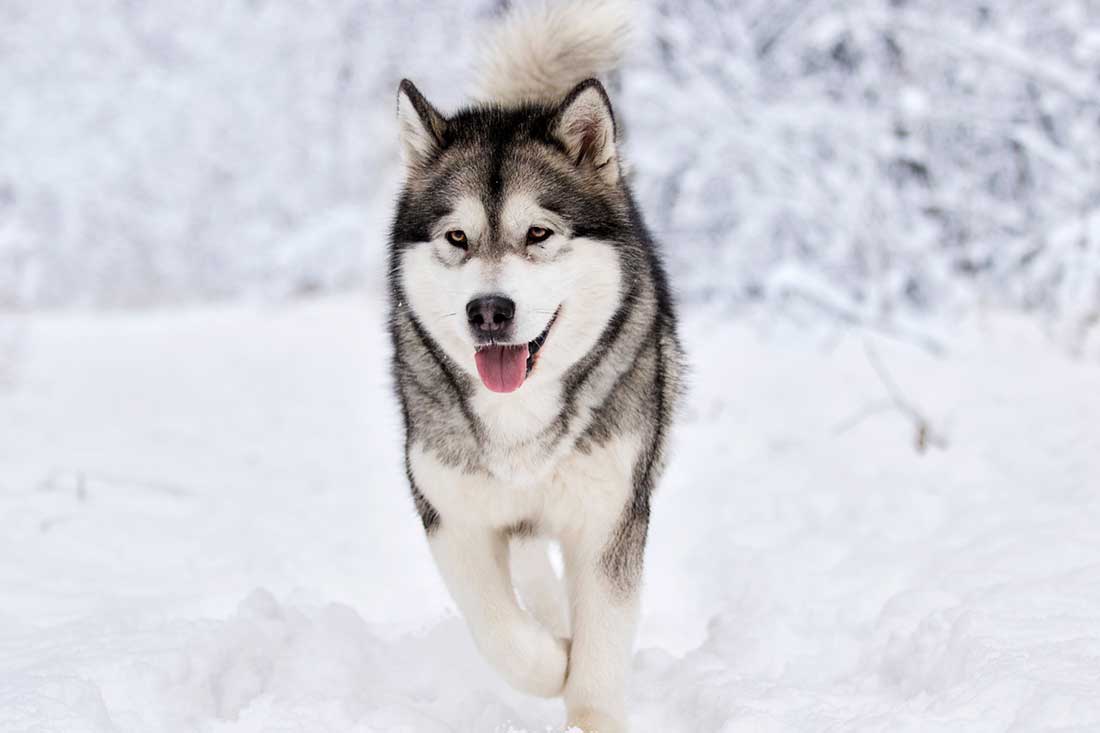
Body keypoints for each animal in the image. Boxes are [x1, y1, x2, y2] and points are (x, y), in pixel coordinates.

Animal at [387, 2, 677, 726]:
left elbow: (600, 647)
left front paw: (589, 712)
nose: (489, 310)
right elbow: (497, 627)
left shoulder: (610, 515)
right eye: (457, 237)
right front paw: (551, 661)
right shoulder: (451, 511)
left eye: (539, 233)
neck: (519, 415)